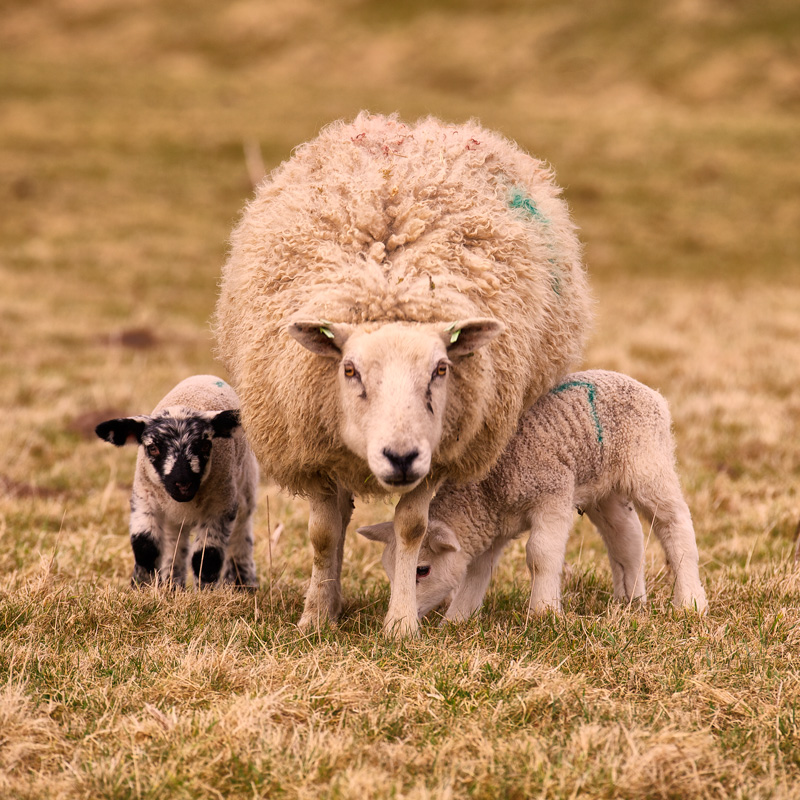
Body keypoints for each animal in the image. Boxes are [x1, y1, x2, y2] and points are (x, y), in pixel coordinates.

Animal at [95, 374, 260, 588]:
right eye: (153, 448)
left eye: (205, 445)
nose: (183, 485)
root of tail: (205, 376)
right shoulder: (144, 497)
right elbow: (145, 547)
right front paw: (142, 587)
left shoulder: (221, 506)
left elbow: (207, 556)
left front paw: (206, 592)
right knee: (175, 542)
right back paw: (171, 584)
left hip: (245, 487)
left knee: (241, 534)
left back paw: (243, 584)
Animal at [216, 112, 592, 636]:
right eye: (349, 369)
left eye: (441, 369)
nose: (399, 456)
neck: (387, 278)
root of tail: (411, 126)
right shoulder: (312, 451)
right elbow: (323, 534)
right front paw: (316, 617)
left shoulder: (441, 455)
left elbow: (412, 528)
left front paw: (400, 624)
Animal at [360, 372, 708, 620]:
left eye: (422, 570)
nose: (396, 620)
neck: (486, 492)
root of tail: (651, 392)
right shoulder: (491, 527)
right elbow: (477, 571)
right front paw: (457, 620)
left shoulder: (552, 493)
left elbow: (540, 554)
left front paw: (543, 612)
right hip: (603, 488)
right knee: (626, 538)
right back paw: (631, 602)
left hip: (648, 463)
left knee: (674, 522)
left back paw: (691, 602)